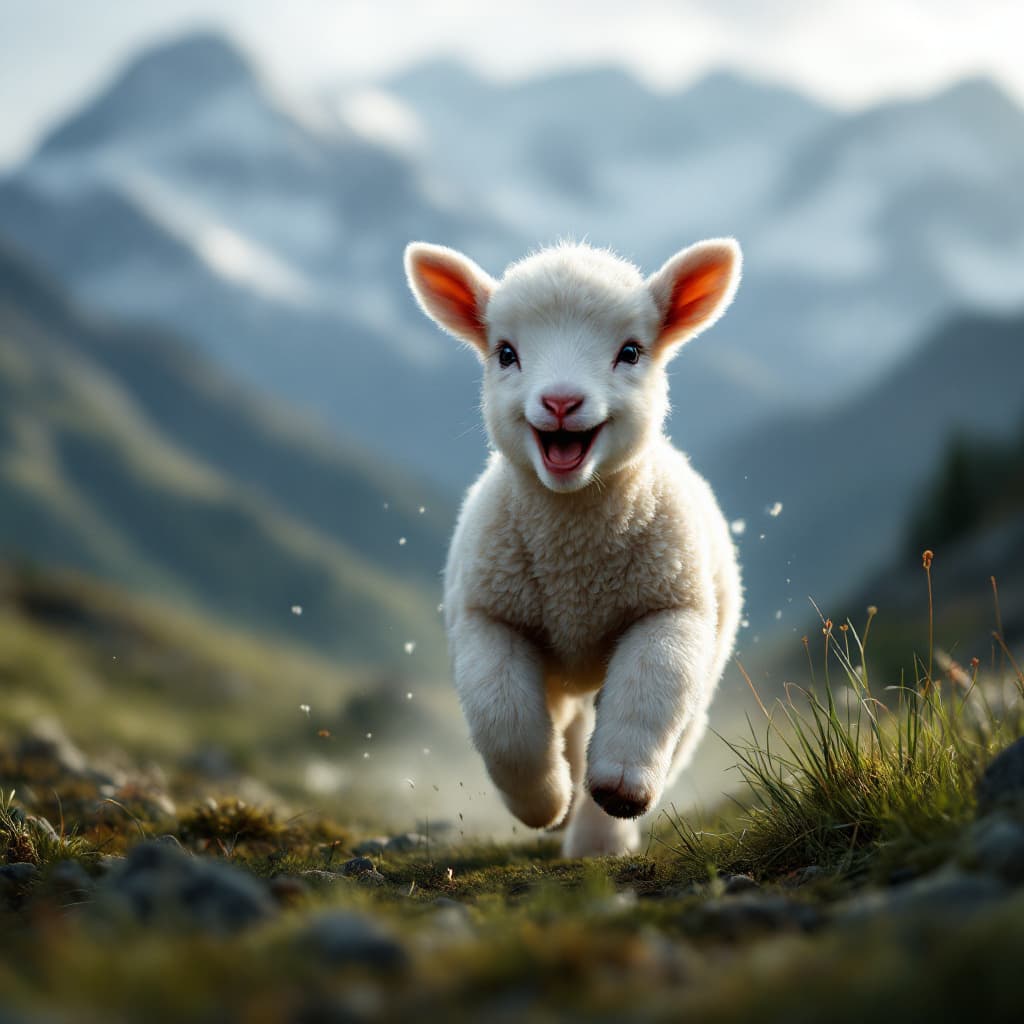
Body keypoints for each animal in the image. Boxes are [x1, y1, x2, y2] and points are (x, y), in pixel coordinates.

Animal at [404, 239, 743, 856]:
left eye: (630, 352)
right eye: (506, 353)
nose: (561, 401)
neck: (574, 563)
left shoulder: (672, 607)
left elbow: (652, 686)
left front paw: (618, 792)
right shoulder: (488, 615)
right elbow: (502, 718)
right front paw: (541, 803)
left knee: (676, 729)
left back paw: (598, 839)